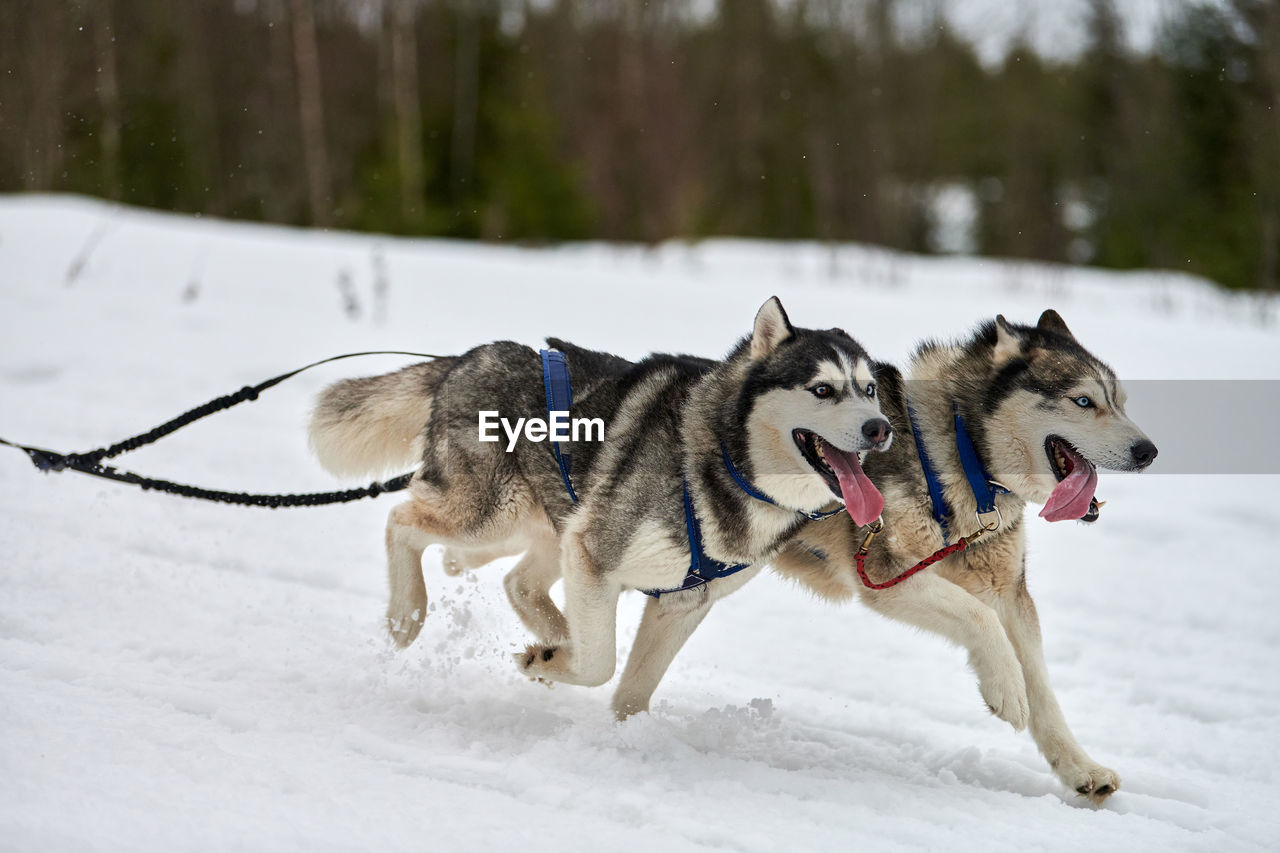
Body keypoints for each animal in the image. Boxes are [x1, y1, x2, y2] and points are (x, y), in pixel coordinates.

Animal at [308, 297, 890, 712]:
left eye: (868, 389)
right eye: (822, 389)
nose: (880, 428)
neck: (724, 461)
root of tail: (468, 358)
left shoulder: (682, 602)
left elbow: (630, 691)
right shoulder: (595, 557)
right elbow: (599, 666)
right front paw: (554, 662)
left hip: (550, 526)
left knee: (514, 581)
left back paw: (552, 636)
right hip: (494, 515)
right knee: (401, 521)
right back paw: (408, 616)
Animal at [768, 308, 1162, 799]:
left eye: (1120, 402)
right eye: (1084, 401)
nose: (1148, 451)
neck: (962, 456)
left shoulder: (1008, 593)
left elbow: (1041, 686)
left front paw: (1078, 766)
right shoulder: (886, 575)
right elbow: (980, 618)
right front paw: (1006, 690)